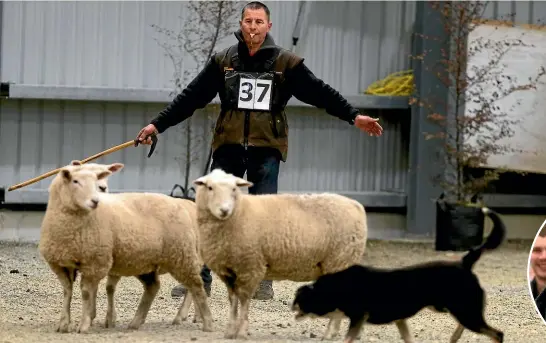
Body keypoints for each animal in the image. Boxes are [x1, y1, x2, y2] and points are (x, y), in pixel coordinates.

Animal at [38, 163, 211, 334]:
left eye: (97, 179)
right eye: (75, 181)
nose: (95, 201)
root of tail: (180, 203)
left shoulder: (95, 262)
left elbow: (88, 292)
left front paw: (85, 324)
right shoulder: (60, 264)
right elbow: (68, 291)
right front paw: (64, 324)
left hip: (181, 255)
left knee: (196, 285)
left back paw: (205, 321)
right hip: (145, 261)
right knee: (153, 286)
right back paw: (136, 322)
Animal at [193, 168, 368, 340]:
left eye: (234, 189)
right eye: (210, 188)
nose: (224, 210)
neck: (239, 212)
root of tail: (356, 205)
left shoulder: (251, 266)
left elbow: (244, 301)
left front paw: (241, 332)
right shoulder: (229, 272)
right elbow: (234, 301)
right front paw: (230, 331)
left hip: (340, 260)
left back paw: (330, 334)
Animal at [292, 207, 504, 343]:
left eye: (298, 300)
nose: (291, 307)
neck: (335, 287)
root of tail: (464, 262)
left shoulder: (359, 318)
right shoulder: (400, 321)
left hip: (465, 311)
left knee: (497, 334)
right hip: (451, 309)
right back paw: (454, 337)